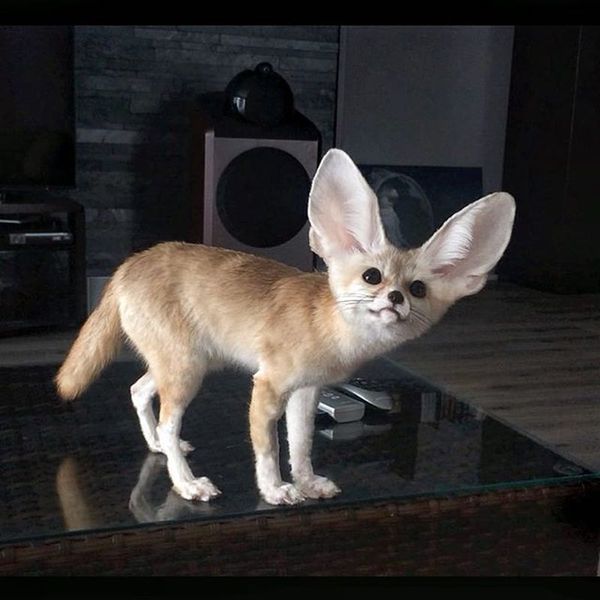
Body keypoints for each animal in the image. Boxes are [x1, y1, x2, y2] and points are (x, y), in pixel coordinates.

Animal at [55, 149, 515, 506]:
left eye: (418, 289)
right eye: (373, 277)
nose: (396, 299)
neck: (328, 329)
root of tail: (128, 265)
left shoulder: (307, 392)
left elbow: (302, 444)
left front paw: (308, 482)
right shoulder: (268, 386)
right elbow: (269, 449)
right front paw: (275, 489)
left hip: (183, 365)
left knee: (138, 391)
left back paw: (158, 448)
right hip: (186, 371)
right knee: (168, 420)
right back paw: (185, 482)